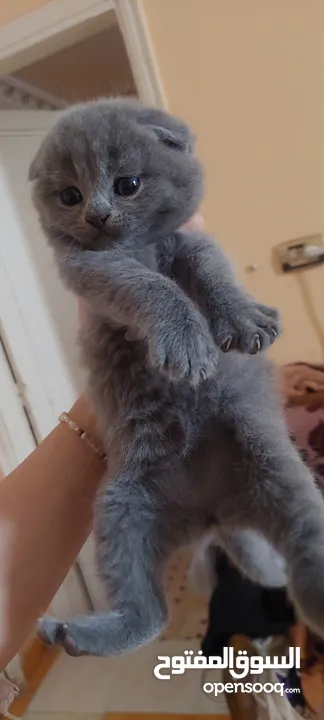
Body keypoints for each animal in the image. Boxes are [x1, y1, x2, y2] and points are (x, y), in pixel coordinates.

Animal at [29, 98, 324, 656]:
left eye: (127, 184)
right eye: (69, 195)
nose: (95, 214)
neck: (141, 245)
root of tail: (212, 514)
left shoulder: (189, 241)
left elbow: (208, 266)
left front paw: (244, 320)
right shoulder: (91, 268)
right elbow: (147, 285)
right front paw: (187, 342)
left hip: (275, 464)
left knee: (304, 542)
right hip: (121, 508)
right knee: (148, 612)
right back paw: (74, 634)